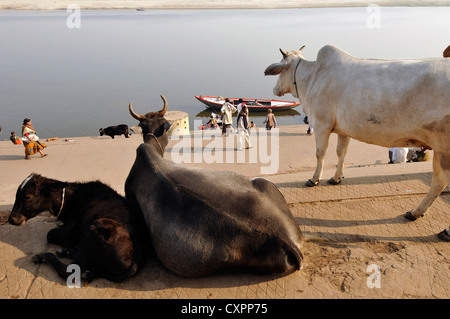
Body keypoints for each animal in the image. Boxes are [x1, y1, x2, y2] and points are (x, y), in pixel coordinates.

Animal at [7, 175, 148, 282]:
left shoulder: (71, 233)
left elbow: (50, 234)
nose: (11, 219)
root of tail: (137, 258)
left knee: (70, 271)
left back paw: (44, 256)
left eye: (27, 196)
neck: (71, 198)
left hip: (94, 228)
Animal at [264, 44, 450, 240]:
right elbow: (341, 152)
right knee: (438, 182)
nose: (275, 90)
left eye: (281, 70)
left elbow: (320, 153)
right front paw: (336, 178)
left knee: (441, 180)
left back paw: (443, 229)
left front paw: (314, 179)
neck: (313, 76)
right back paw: (415, 212)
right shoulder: (343, 130)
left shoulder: (322, 124)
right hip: (439, 148)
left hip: (444, 148)